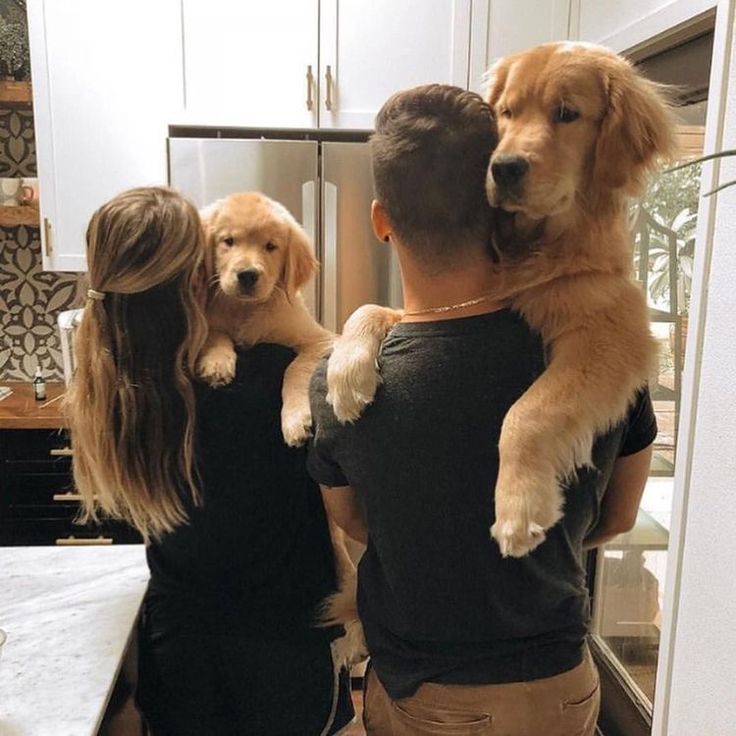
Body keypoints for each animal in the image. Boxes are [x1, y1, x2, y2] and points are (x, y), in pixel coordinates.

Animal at [197, 193, 332, 448]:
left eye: (270, 246)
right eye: (228, 241)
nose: (247, 275)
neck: (244, 309)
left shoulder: (321, 340)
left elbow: (295, 368)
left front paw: (295, 420)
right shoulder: (207, 319)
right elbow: (216, 333)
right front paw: (217, 363)